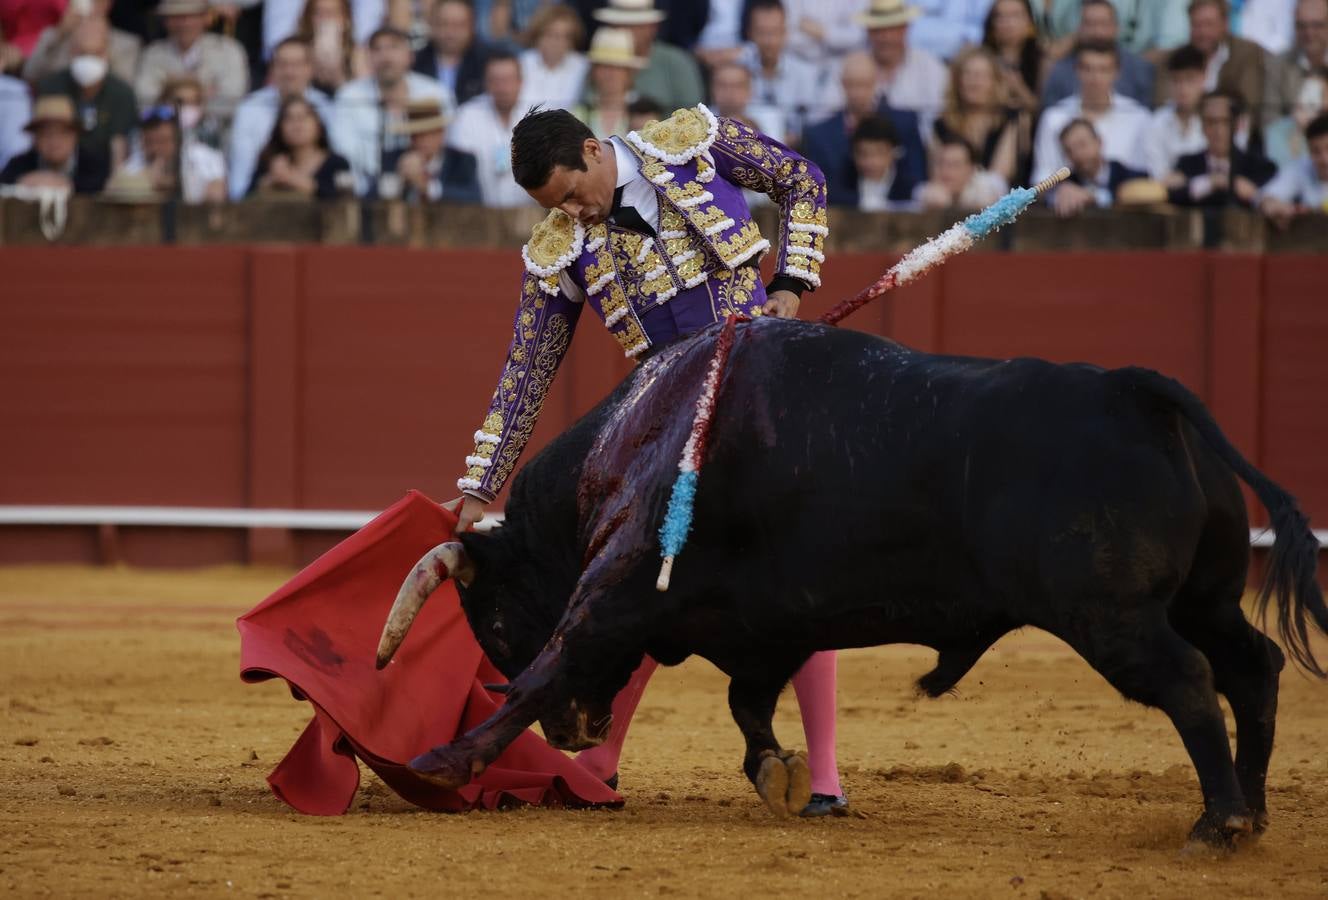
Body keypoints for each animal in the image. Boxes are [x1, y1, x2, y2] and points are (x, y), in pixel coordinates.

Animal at [377, 321, 1328, 849]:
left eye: (497, 627)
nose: (579, 735)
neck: (647, 430)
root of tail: (1135, 392)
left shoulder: (620, 587)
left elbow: (554, 665)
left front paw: (438, 762)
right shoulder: (765, 624)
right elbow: (748, 702)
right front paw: (779, 773)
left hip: (1113, 616)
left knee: (1191, 682)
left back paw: (1217, 825)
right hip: (1202, 598)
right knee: (1254, 667)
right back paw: (1252, 814)